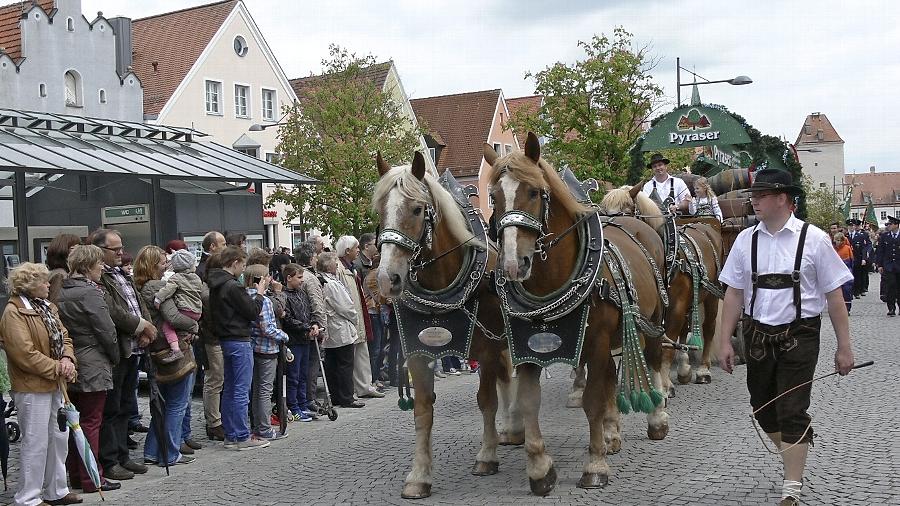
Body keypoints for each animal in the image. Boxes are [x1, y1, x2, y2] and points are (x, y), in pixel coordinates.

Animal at [372, 150, 520, 498]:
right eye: (380, 209)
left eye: (416, 209)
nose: (387, 279)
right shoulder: (417, 352)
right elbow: (423, 411)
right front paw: (418, 476)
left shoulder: (487, 349)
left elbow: (486, 400)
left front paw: (486, 456)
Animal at [486, 134, 668, 494]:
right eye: (493, 197)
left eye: (534, 192)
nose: (513, 265)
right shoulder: (526, 346)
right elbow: (529, 402)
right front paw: (540, 469)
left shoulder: (596, 342)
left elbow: (592, 400)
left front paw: (595, 464)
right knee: (611, 377)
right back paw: (611, 434)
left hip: (651, 321)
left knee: (653, 360)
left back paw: (656, 419)